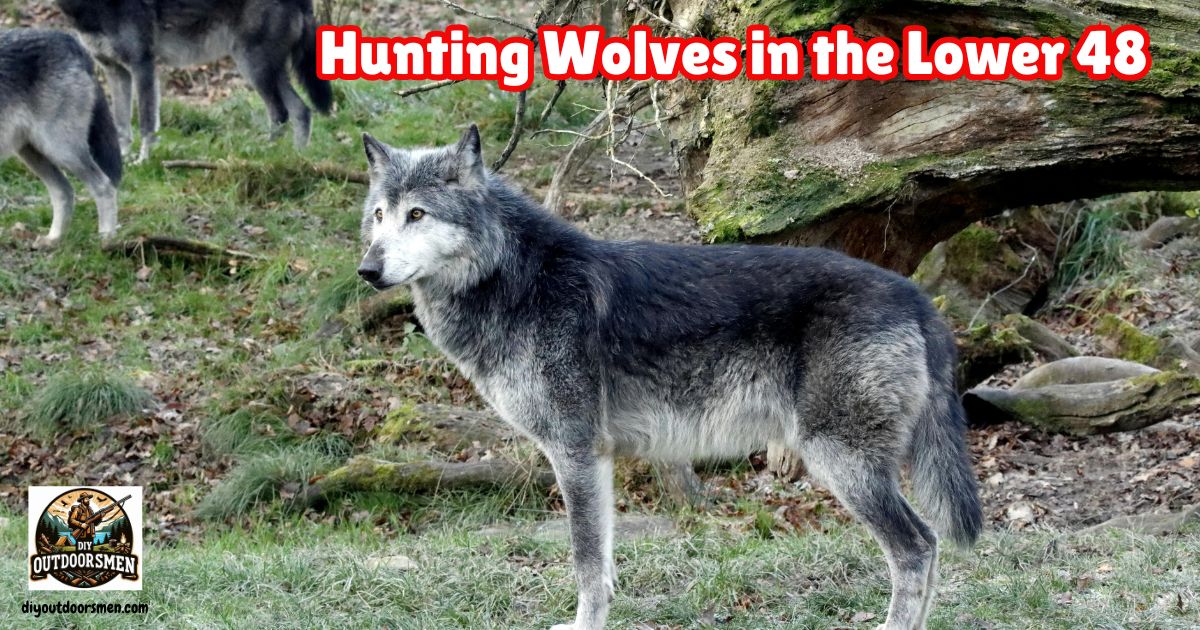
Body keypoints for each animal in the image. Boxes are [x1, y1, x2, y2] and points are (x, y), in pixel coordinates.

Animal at [0, 29, 121, 248]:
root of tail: (71, 41)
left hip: (61, 150)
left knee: (104, 186)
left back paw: (106, 239)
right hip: (34, 154)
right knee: (64, 191)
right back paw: (53, 239)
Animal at [55, 0, 332, 162]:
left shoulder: (142, 67)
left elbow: (146, 123)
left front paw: (143, 161)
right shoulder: (116, 72)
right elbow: (121, 124)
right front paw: (122, 159)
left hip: (253, 67)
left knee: (281, 112)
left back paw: (267, 154)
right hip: (268, 70)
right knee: (301, 110)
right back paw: (296, 157)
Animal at [355, 126, 983, 630]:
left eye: (418, 215)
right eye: (380, 216)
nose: (366, 268)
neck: (519, 281)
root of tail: (916, 298)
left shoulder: (575, 451)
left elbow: (585, 563)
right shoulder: (597, 458)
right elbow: (603, 565)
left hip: (842, 464)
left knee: (917, 549)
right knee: (926, 550)